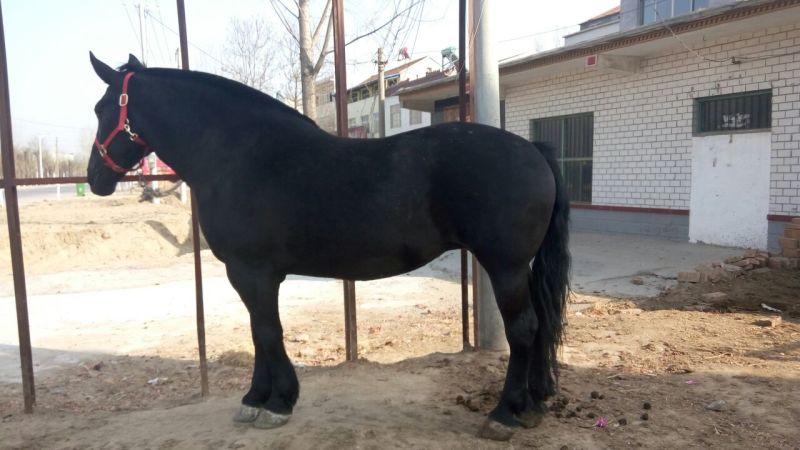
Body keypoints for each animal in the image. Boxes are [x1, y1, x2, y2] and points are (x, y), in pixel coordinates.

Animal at [87, 53, 570, 440]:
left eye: (102, 108)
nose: (95, 178)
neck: (236, 155)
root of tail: (532, 149)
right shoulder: (255, 274)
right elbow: (259, 331)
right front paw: (256, 398)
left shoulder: (251, 271)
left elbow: (267, 331)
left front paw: (275, 403)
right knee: (538, 325)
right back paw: (532, 407)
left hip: (505, 266)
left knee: (523, 329)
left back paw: (504, 414)